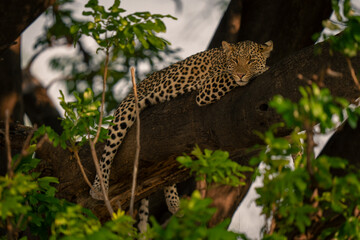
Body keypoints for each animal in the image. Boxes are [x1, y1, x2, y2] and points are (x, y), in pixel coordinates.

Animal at [90, 39, 272, 227]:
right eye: (235, 60)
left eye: (251, 60)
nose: (241, 74)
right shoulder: (208, 88)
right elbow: (230, 77)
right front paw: (264, 69)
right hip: (127, 110)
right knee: (109, 150)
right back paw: (98, 187)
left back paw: (174, 203)